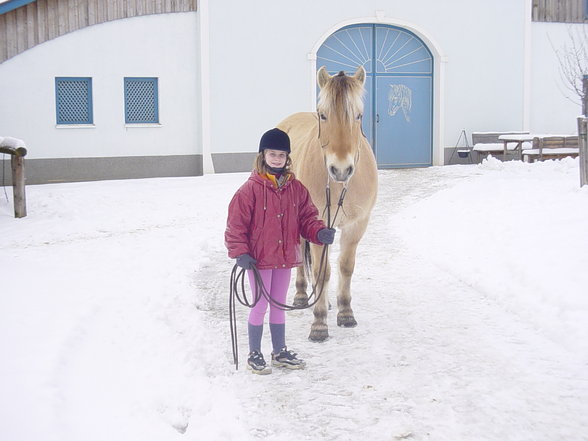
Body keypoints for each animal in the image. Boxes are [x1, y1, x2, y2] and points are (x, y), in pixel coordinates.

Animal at [278, 65, 378, 340]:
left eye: (359, 115)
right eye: (323, 115)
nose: (340, 170)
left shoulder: (356, 225)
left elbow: (344, 267)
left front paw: (345, 312)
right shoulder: (317, 224)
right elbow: (322, 272)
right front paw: (319, 323)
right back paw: (303, 294)